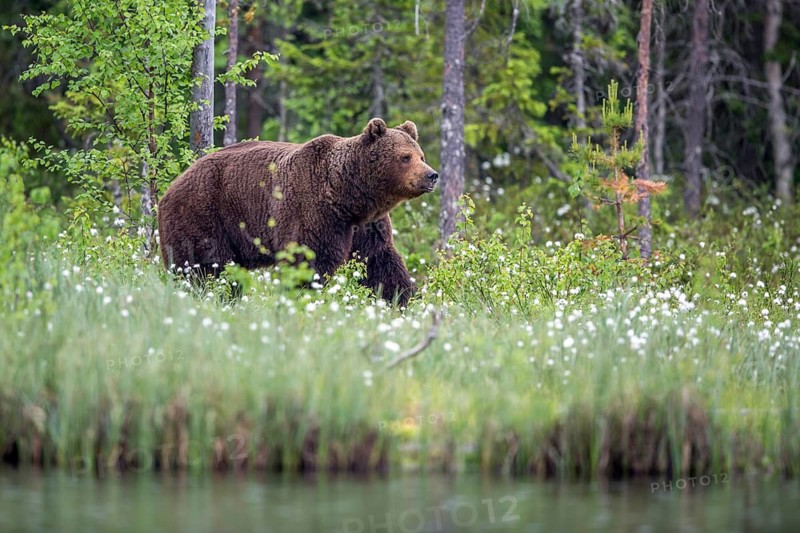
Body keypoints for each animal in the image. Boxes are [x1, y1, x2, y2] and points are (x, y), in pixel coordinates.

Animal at [157, 118, 438, 306]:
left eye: (421, 156)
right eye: (405, 157)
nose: (432, 175)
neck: (346, 198)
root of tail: (169, 190)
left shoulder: (368, 225)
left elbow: (380, 261)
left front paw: (401, 301)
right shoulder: (310, 211)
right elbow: (309, 260)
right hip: (203, 215)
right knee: (205, 268)